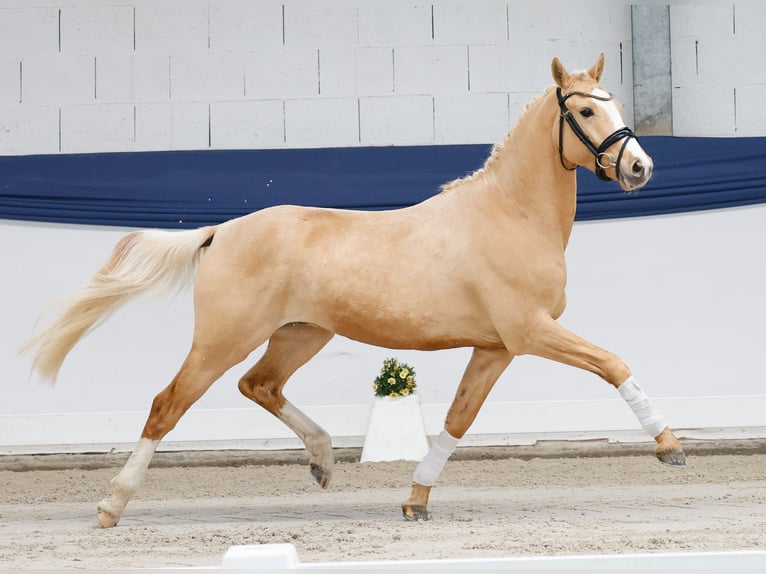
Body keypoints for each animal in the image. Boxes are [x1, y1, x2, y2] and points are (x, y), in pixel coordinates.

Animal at [20, 53, 686, 527]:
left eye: (614, 102)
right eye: (587, 112)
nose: (640, 168)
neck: (511, 214)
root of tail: (221, 231)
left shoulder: (496, 346)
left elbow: (459, 418)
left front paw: (416, 500)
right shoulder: (530, 331)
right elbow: (612, 362)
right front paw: (669, 447)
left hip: (300, 335)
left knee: (259, 385)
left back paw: (323, 460)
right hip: (223, 338)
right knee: (168, 404)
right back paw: (112, 506)